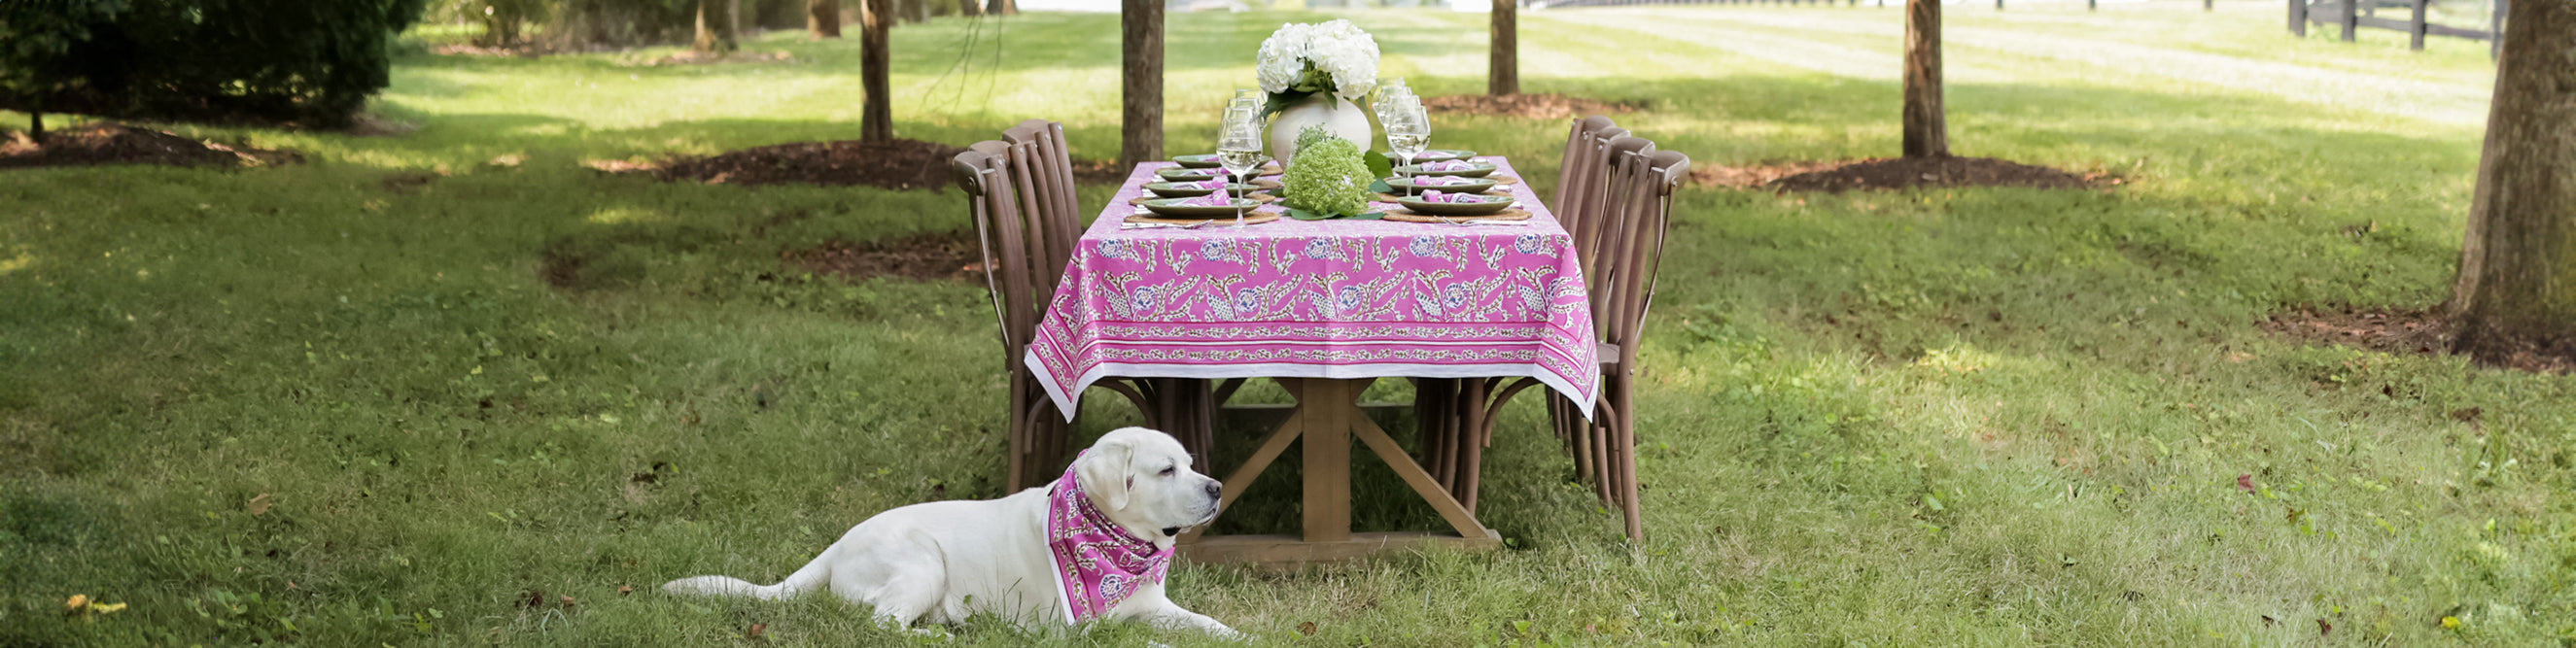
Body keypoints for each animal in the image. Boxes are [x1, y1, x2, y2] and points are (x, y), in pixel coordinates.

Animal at [659, 426, 1231, 634]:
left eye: (1189, 463)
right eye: (1166, 470)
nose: (1217, 487)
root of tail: (838, 543)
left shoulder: (1156, 606)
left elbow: (1212, 625)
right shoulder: (1074, 632)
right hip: (922, 563)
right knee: (883, 625)